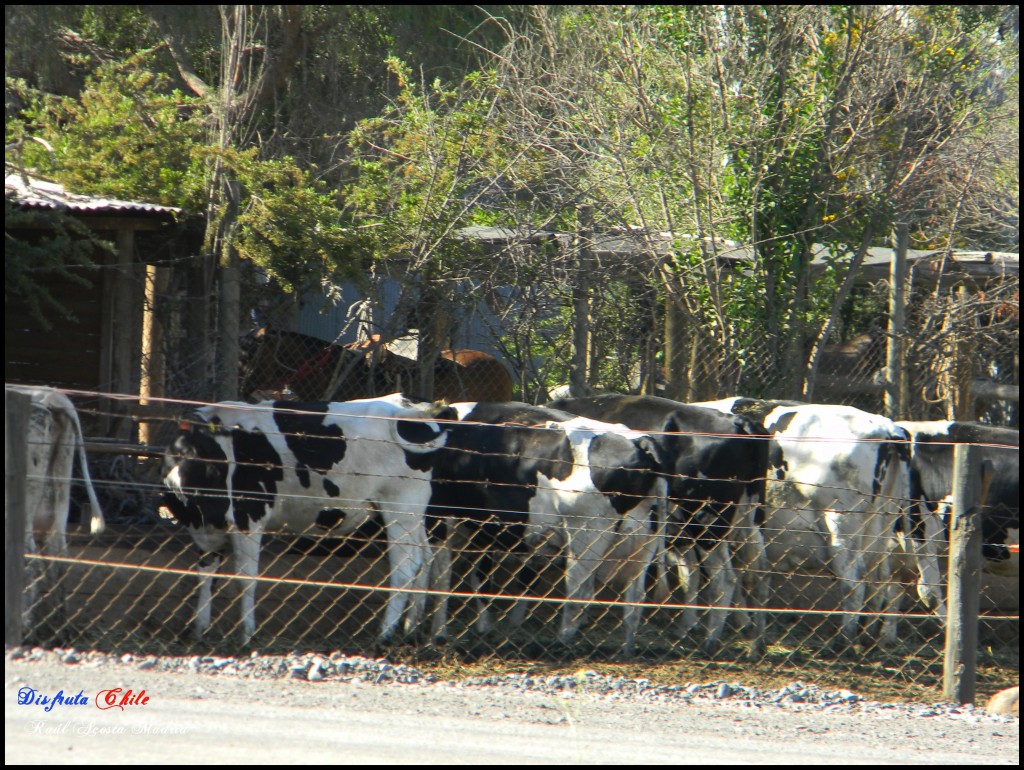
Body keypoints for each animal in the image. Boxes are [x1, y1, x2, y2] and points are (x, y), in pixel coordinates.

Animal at [160, 393, 456, 647]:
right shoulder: (205, 532)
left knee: (406, 567)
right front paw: (199, 630)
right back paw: (411, 630)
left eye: (205, 451)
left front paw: (246, 636)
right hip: (412, 514)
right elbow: (205, 577)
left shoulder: (249, 517)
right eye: (179, 450)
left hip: (401, 507)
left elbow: (245, 579)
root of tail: (420, 408)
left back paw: (385, 635)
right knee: (426, 559)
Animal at [421, 403, 663, 655]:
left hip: (585, 535)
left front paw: (438, 636)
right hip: (646, 541)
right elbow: (483, 577)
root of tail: (639, 441)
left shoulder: (439, 515)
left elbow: (441, 579)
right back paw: (627, 649)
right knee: (634, 600)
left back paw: (561, 643)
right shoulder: (487, 528)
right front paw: (488, 628)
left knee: (580, 592)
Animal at [548, 397, 770, 655]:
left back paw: (711, 640)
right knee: (755, 572)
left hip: (705, 520)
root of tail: (739, 421)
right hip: (744, 517)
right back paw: (754, 641)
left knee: (724, 578)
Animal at [692, 399, 946, 647]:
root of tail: (887, 427)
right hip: (881, 528)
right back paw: (869, 637)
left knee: (854, 582)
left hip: (840, 522)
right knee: (883, 580)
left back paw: (845, 641)